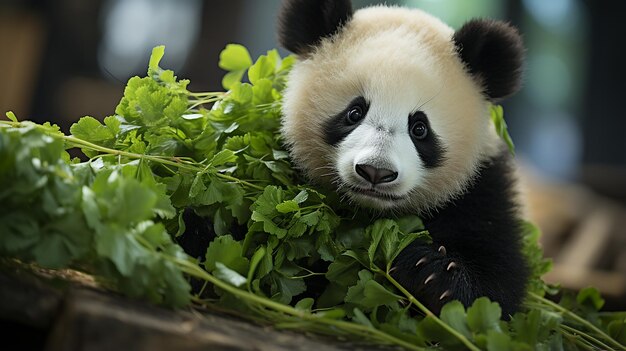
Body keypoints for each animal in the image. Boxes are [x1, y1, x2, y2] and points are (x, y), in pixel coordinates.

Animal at [276, 0, 528, 318]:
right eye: (354, 113)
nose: (375, 172)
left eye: (419, 128)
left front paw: (432, 274)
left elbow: (495, 284)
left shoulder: (483, 190)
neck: (372, 212)